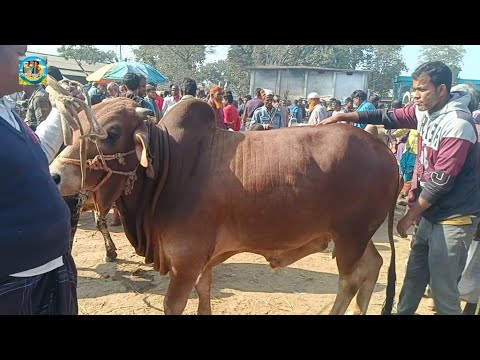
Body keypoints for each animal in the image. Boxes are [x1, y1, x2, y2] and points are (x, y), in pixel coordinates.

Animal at [50, 97, 400, 314]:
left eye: (111, 133)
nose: (54, 174)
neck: (169, 168)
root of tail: (385, 151)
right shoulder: (201, 261)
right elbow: (205, 294)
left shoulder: (185, 263)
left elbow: (174, 305)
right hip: (357, 236)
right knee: (373, 266)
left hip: (350, 237)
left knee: (351, 279)